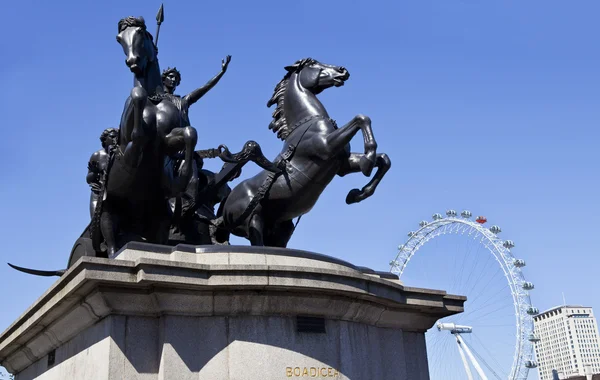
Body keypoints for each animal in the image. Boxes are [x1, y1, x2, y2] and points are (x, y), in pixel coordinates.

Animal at [218, 56, 392, 246]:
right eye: (312, 63)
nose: (343, 70)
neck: (308, 121)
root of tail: (224, 207)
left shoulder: (341, 165)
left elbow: (384, 160)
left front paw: (356, 194)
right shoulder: (326, 147)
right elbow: (361, 118)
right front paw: (367, 162)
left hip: (280, 229)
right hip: (253, 220)